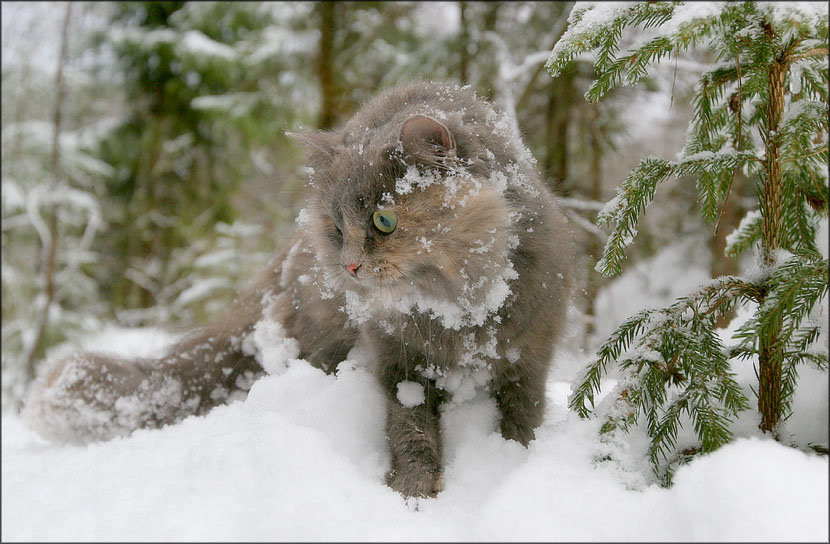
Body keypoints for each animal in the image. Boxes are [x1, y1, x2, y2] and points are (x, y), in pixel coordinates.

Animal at [24, 79, 572, 498]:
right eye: (337, 227)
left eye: (384, 221)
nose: (350, 266)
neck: (458, 310)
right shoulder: (400, 362)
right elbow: (410, 431)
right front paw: (413, 494)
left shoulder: (528, 355)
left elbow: (522, 422)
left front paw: (512, 468)